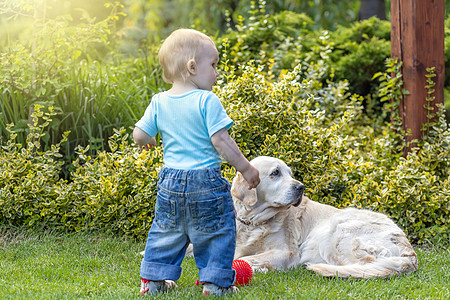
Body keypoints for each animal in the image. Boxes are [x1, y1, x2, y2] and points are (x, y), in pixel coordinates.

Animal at [232, 157, 418, 278]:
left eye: (290, 173)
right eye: (275, 172)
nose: (301, 187)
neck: (253, 221)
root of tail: (410, 255)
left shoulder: (287, 253)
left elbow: (244, 259)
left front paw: (257, 267)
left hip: (335, 231)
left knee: (361, 267)